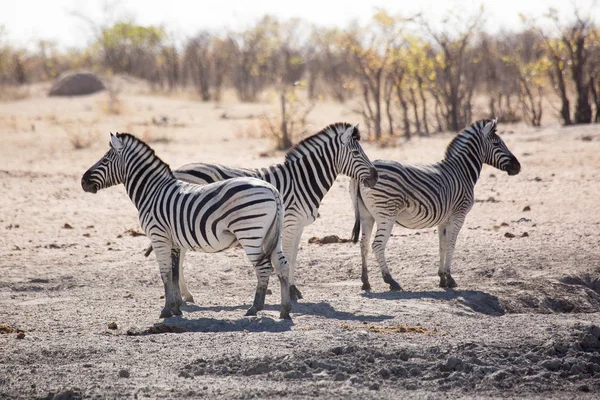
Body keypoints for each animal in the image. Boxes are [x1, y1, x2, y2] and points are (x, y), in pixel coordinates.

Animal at [81, 133, 292, 320]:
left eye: (105, 160)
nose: (83, 182)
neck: (152, 190)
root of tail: (273, 190)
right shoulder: (173, 241)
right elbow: (174, 274)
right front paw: (176, 308)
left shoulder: (158, 237)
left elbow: (165, 273)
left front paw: (166, 310)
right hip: (273, 235)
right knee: (281, 265)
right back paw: (285, 310)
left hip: (250, 233)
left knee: (264, 267)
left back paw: (255, 308)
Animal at [150, 123, 378, 302]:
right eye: (356, 153)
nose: (375, 177)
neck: (302, 180)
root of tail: (177, 170)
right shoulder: (291, 222)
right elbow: (289, 256)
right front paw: (291, 291)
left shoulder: (298, 226)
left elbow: (294, 257)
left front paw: (292, 290)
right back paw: (185, 295)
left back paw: (185, 295)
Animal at [352, 119, 520, 290]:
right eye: (497, 144)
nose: (517, 167)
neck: (462, 171)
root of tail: (366, 171)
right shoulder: (459, 215)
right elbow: (451, 244)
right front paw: (450, 278)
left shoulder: (443, 219)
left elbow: (442, 246)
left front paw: (442, 278)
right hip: (386, 214)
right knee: (377, 245)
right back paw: (390, 280)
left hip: (366, 215)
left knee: (364, 244)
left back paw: (365, 282)